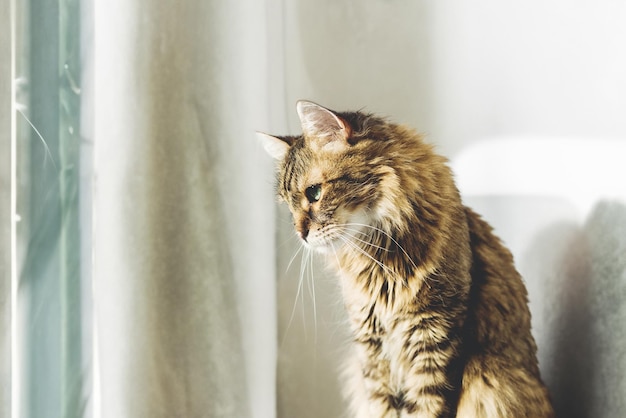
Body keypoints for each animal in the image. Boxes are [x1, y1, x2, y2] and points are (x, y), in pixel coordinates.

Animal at [258, 101, 552, 418]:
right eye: (288, 207)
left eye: (314, 193)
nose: (300, 234)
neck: (377, 258)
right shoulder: (371, 347)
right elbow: (382, 407)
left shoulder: (434, 337)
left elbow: (425, 407)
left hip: (494, 376)